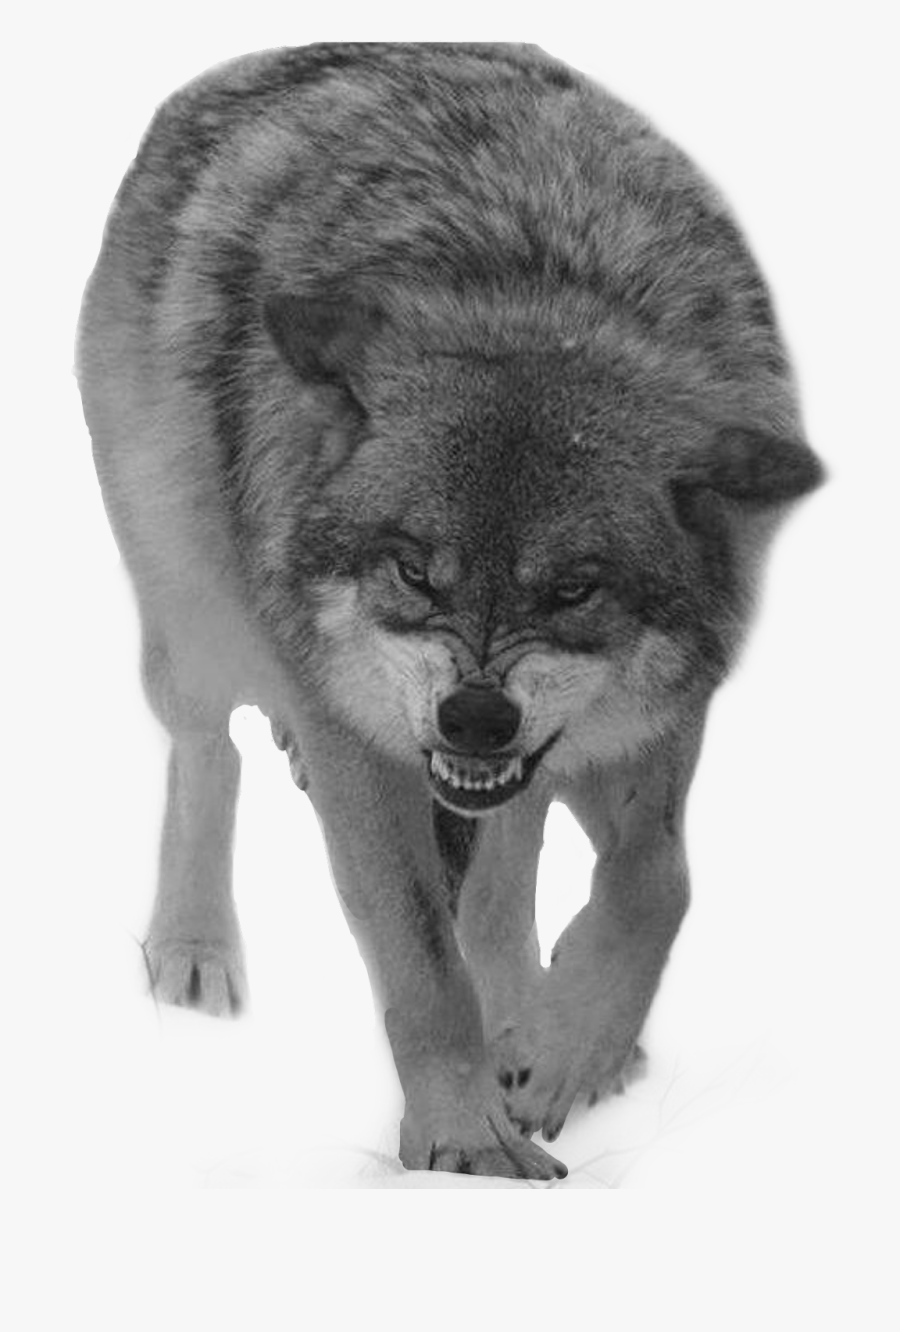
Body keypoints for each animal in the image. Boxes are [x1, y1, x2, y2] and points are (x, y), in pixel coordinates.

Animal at [76, 42, 822, 1180]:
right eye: (414, 572)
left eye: (574, 588)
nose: (473, 718)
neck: (539, 294)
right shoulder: (361, 742)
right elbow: (426, 969)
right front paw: (466, 1148)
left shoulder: (649, 723)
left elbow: (656, 881)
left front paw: (563, 1053)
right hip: (193, 614)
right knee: (209, 752)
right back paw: (195, 951)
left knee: (505, 876)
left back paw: (528, 1021)